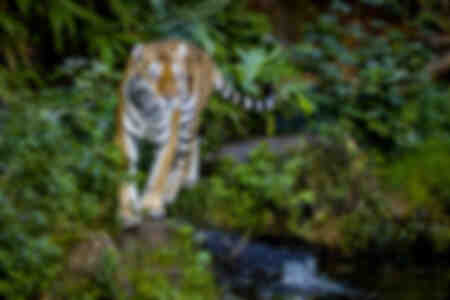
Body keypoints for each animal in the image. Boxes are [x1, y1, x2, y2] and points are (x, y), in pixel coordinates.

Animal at [114, 39, 276, 227]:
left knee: (184, 154)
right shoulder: (126, 135)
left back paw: (173, 189)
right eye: (154, 75)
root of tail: (206, 54)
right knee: (195, 141)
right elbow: (126, 175)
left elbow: (159, 173)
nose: (171, 97)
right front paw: (127, 213)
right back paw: (188, 180)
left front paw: (150, 205)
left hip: (187, 120)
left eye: (177, 76)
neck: (150, 110)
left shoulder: (168, 138)